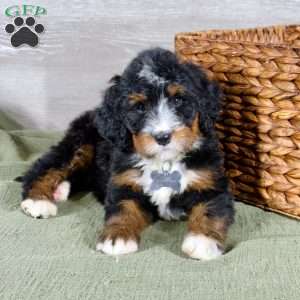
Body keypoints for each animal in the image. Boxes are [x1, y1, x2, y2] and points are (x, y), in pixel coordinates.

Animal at [18, 48, 234, 258]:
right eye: (139, 107)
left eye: (178, 100)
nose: (163, 136)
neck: (164, 162)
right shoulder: (124, 182)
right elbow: (123, 208)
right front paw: (117, 237)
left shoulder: (211, 182)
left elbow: (210, 210)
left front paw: (203, 241)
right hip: (80, 144)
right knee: (45, 167)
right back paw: (38, 201)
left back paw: (60, 190)